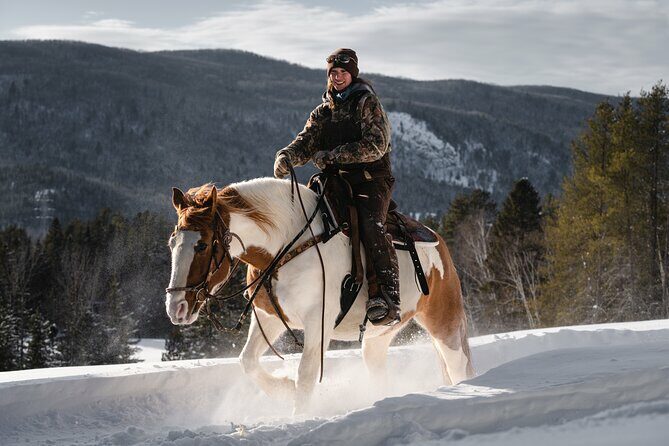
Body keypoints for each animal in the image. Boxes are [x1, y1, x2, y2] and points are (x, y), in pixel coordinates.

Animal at [165, 178, 474, 412]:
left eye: (203, 245)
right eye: (172, 242)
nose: (176, 307)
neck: (286, 245)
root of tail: (439, 243)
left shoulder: (318, 322)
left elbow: (306, 374)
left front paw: (297, 414)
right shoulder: (269, 318)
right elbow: (247, 361)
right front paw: (284, 389)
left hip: (443, 323)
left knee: (458, 366)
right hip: (377, 338)